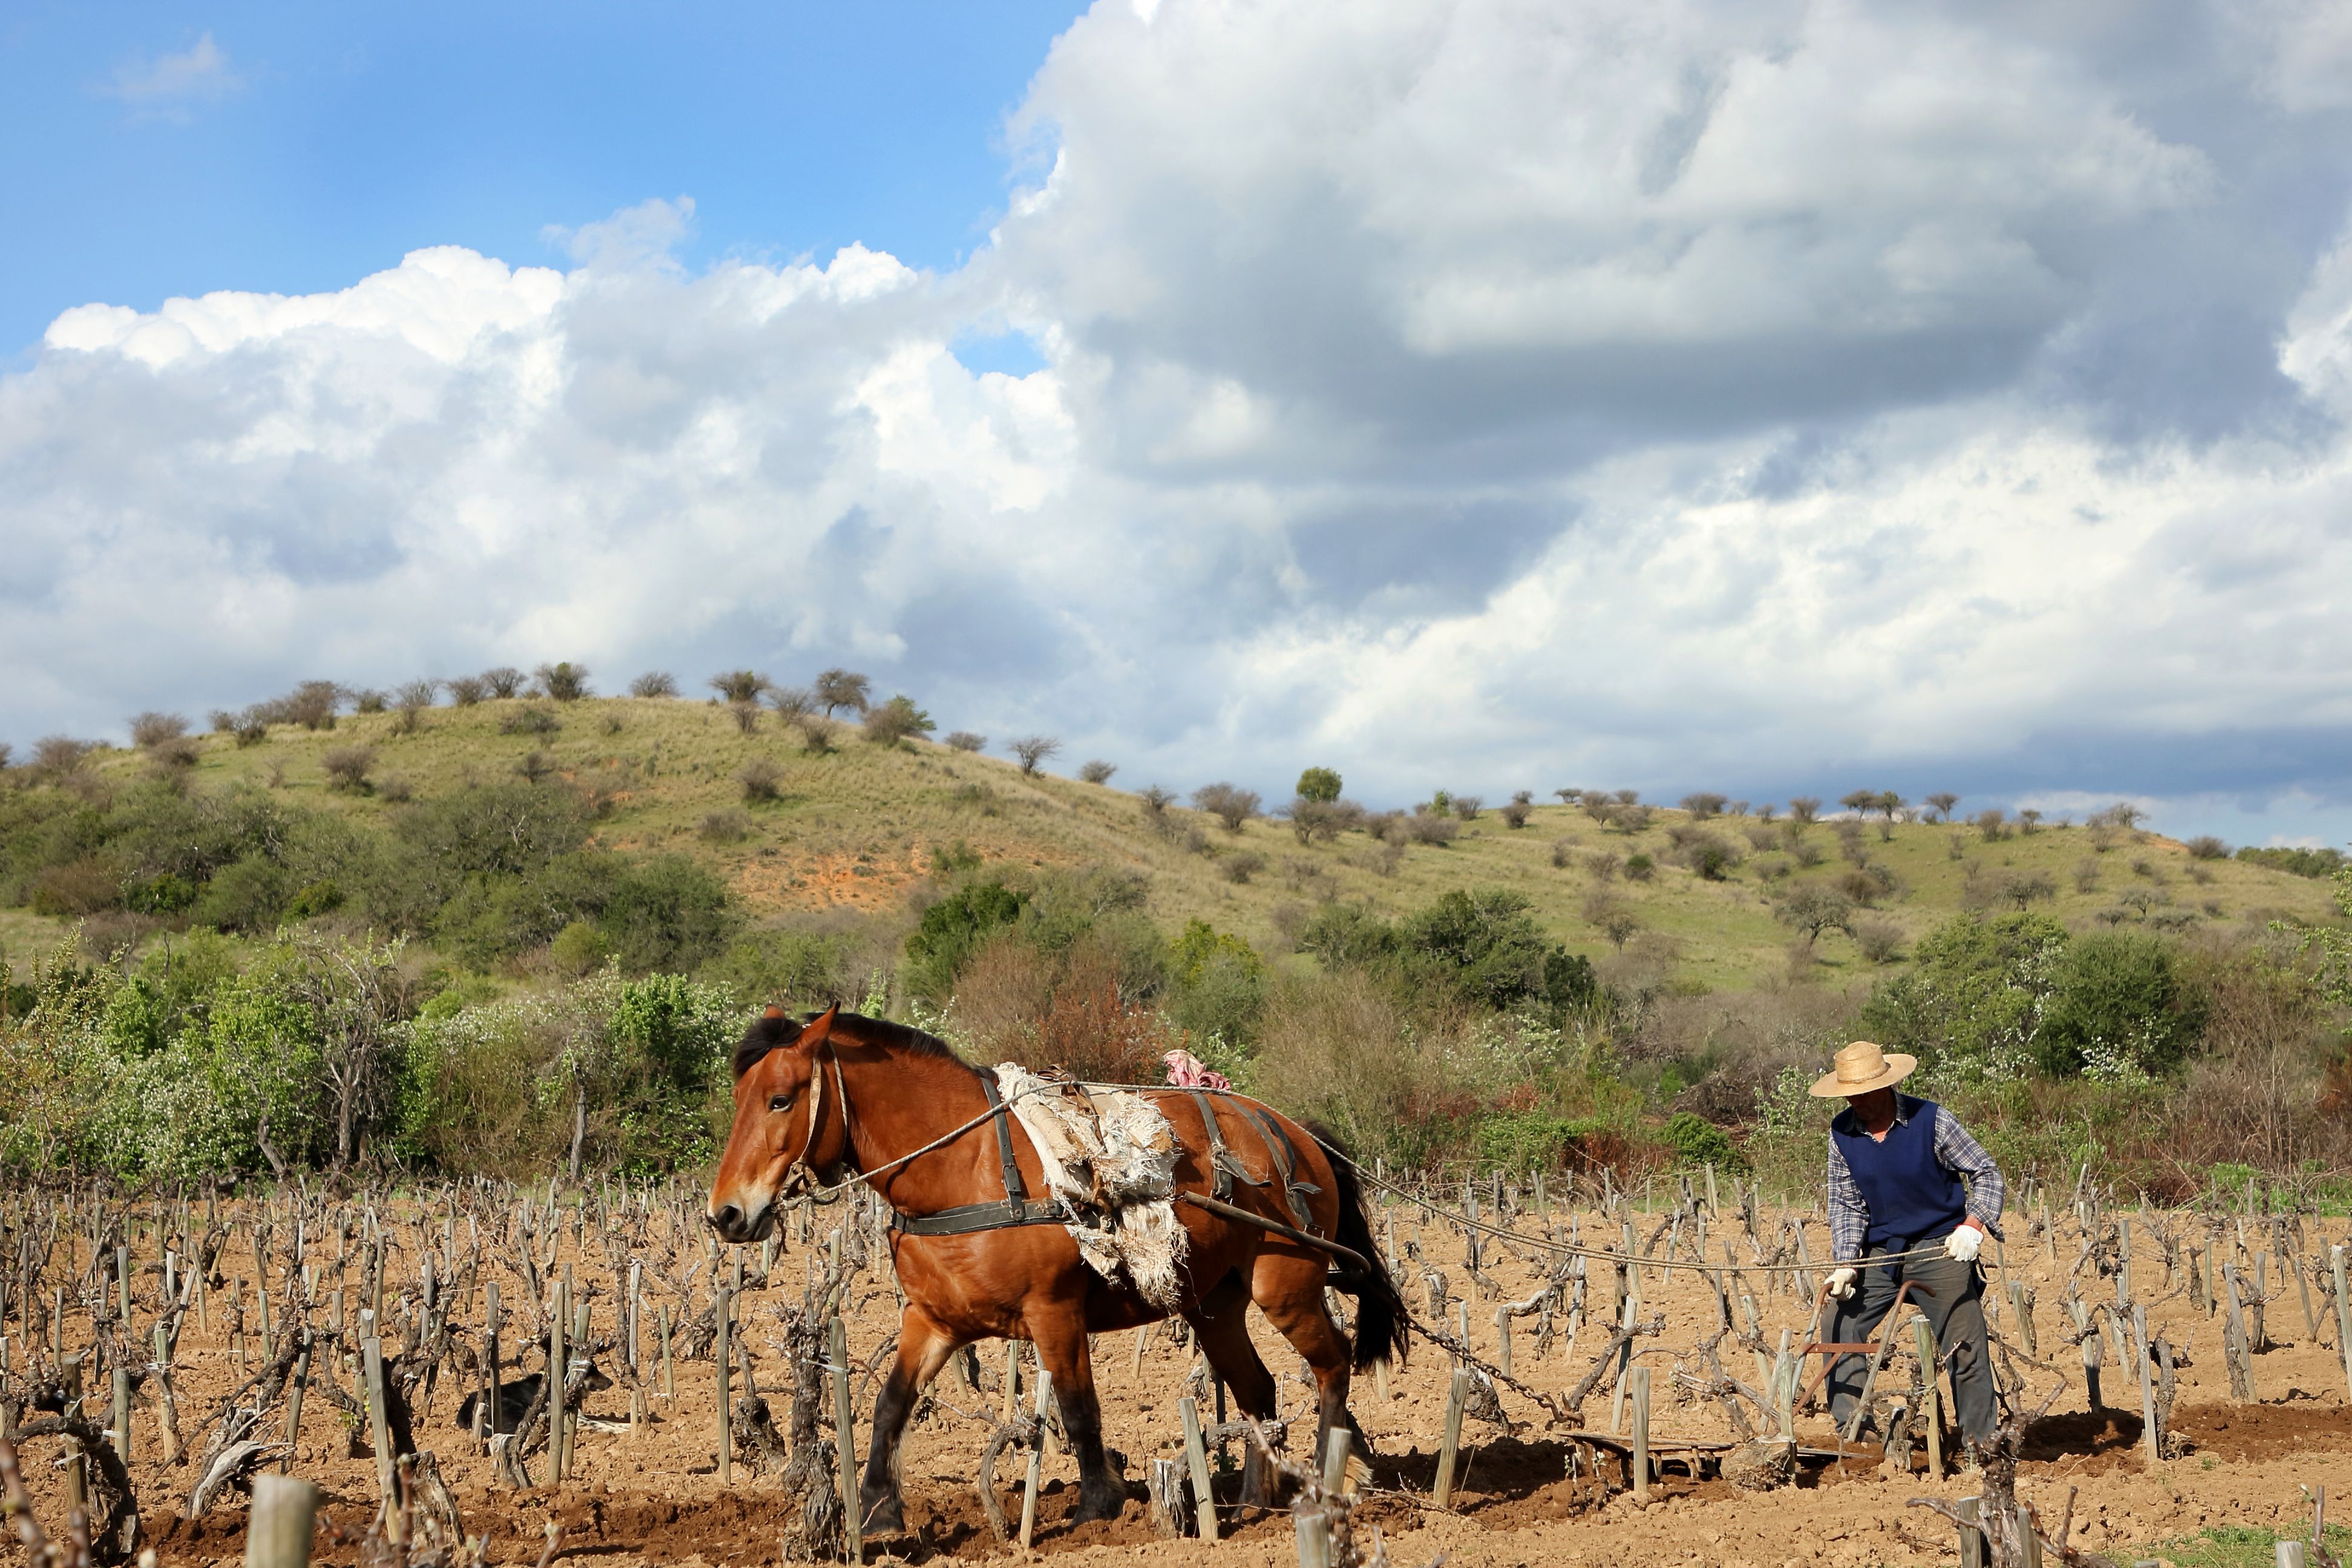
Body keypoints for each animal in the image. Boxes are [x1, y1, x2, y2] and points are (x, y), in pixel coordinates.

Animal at [696, 1006, 1392, 1532]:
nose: (725, 1214)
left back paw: (1330, 1481)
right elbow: (891, 1406)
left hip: (1287, 1288)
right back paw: (1251, 1500)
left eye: (780, 1099)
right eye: (740, 1097)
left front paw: (1098, 1508)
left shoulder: (1054, 1312)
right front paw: (877, 1514)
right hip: (1213, 1305)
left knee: (1332, 1366)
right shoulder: (932, 1321)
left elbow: (1081, 1410)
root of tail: (1297, 1134)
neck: (966, 1168)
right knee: (1257, 1391)